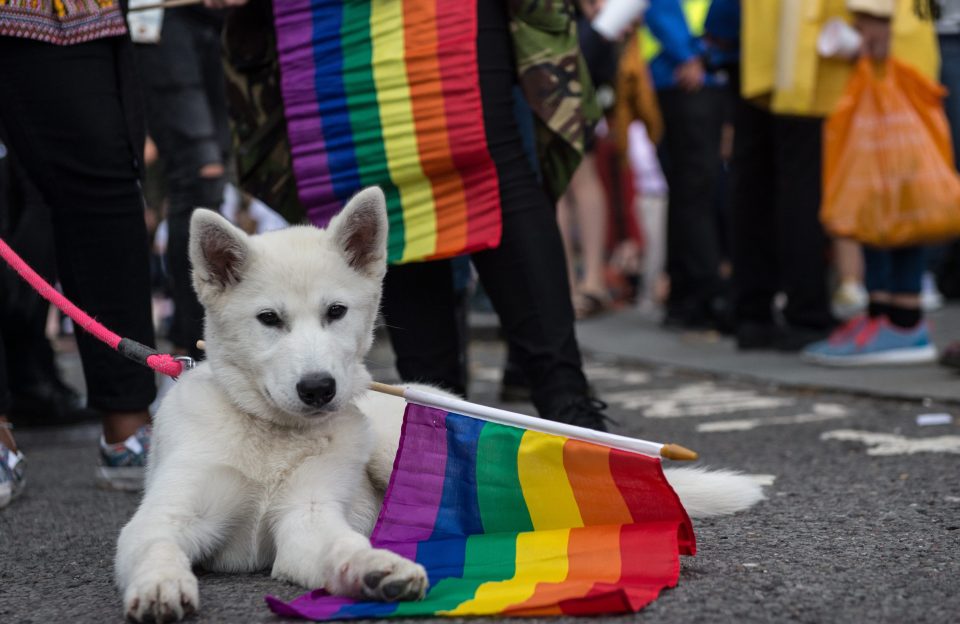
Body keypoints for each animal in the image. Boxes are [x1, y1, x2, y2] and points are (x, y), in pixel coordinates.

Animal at [114, 189, 756, 624]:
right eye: (268, 319)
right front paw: (162, 586)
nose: (320, 389)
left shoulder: (307, 518)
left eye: (336, 312)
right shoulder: (165, 517)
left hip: (391, 441)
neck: (273, 435)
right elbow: (157, 546)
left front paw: (375, 568)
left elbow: (341, 544)